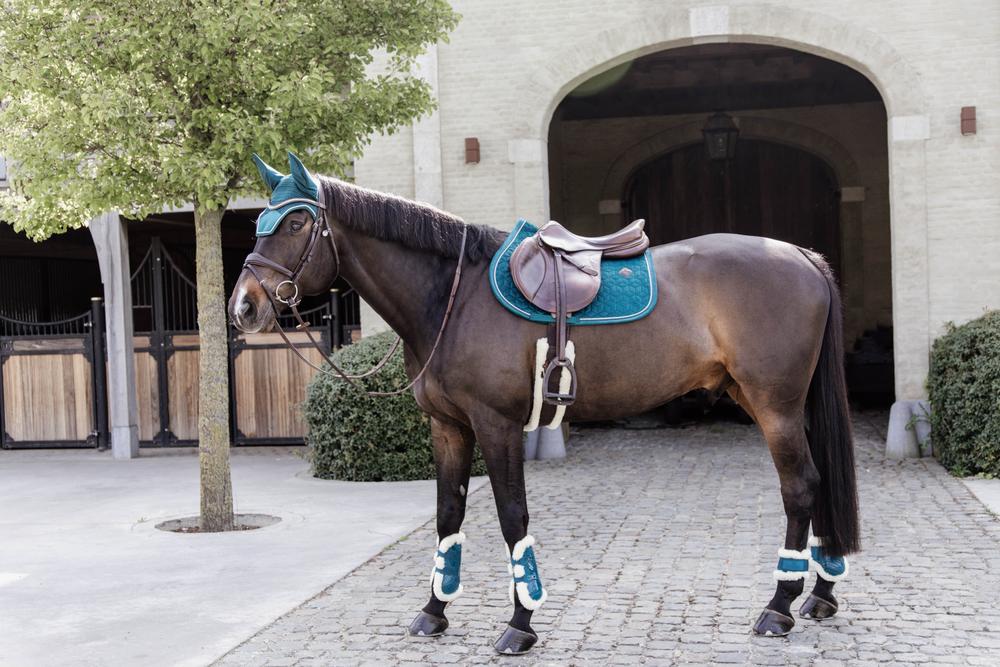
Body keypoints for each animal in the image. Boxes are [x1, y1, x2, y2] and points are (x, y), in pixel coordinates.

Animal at [229, 153, 859, 655]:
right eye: (258, 223)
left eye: (296, 221)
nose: (244, 307)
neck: (452, 299)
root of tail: (801, 256)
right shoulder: (447, 427)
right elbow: (448, 514)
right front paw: (434, 612)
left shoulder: (497, 426)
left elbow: (513, 516)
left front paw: (520, 622)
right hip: (769, 402)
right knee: (819, 481)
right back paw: (820, 595)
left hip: (774, 406)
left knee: (800, 485)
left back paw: (779, 607)